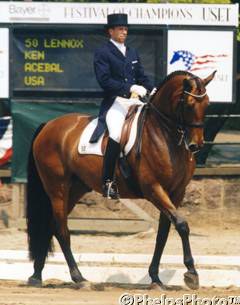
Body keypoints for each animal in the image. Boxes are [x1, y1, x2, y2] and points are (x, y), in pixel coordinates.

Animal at [25, 70, 216, 288]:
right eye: (189, 104)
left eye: (207, 104)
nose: (196, 145)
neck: (163, 133)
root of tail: (48, 125)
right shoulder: (153, 188)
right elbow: (182, 225)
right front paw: (191, 273)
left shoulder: (176, 192)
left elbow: (163, 234)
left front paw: (155, 277)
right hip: (57, 188)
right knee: (62, 229)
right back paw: (78, 278)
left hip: (75, 188)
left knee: (51, 227)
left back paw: (36, 276)